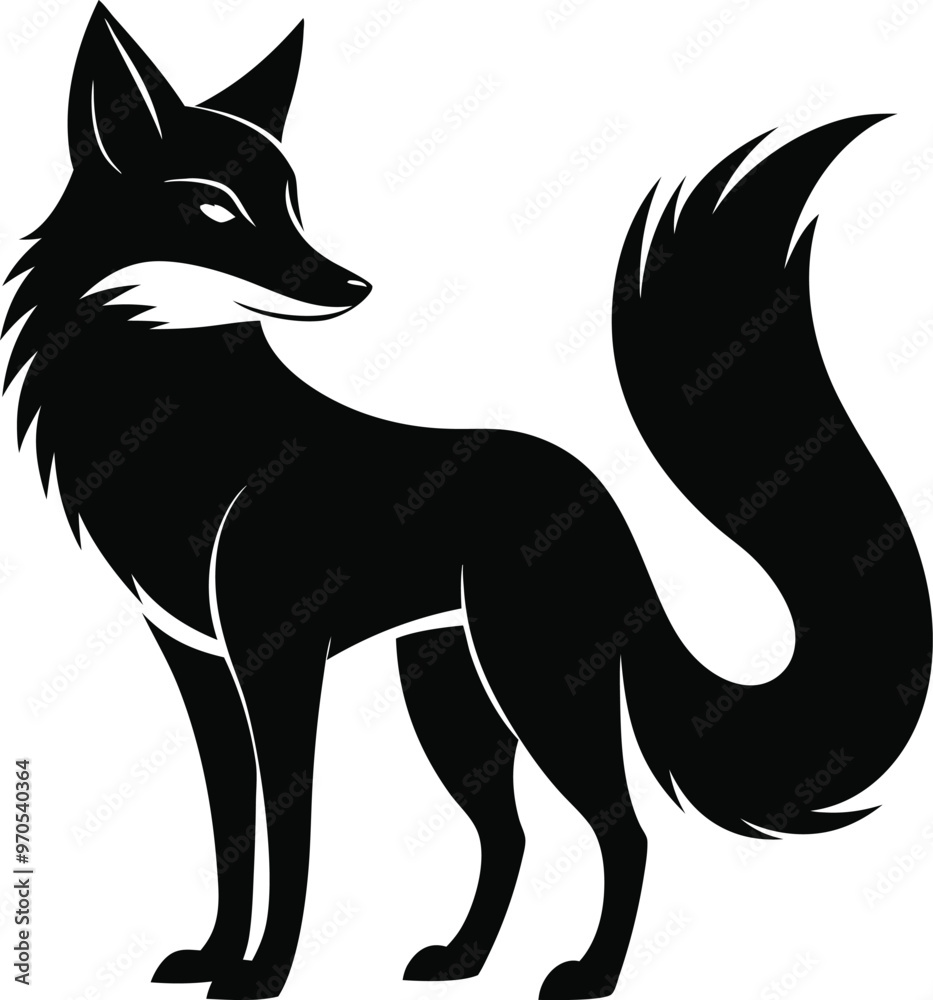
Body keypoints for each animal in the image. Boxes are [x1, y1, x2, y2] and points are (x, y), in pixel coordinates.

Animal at [3, 5, 931, 1000]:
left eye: (292, 202)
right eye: (215, 205)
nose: (353, 286)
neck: (178, 427)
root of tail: (602, 497)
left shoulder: (278, 663)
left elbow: (291, 841)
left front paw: (261, 975)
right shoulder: (198, 666)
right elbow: (231, 834)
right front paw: (215, 958)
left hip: (536, 690)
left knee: (623, 831)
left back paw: (587, 975)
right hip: (448, 694)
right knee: (509, 834)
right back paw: (461, 960)